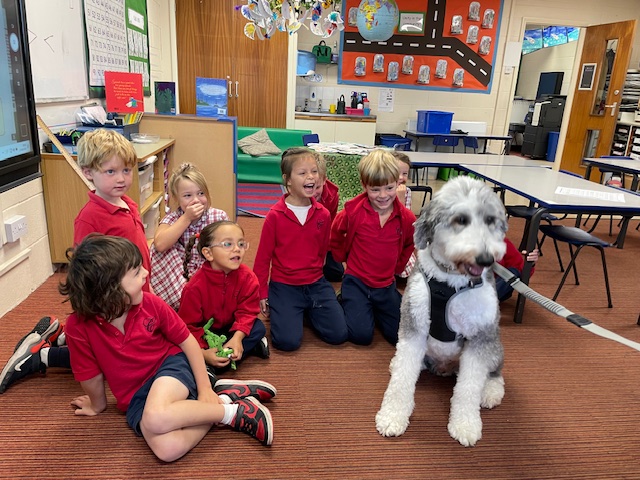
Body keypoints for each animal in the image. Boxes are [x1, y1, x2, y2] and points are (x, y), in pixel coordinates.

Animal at [378, 175, 508, 446]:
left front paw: (465, 425)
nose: (486, 259)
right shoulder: (414, 326)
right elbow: (402, 378)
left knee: (495, 374)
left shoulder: (479, 337)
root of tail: (444, 368)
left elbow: (468, 388)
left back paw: (490, 392)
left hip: (494, 344)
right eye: (461, 219)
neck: (450, 282)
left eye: (491, 220)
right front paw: (393, 416)